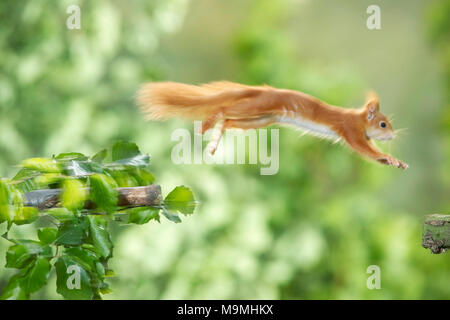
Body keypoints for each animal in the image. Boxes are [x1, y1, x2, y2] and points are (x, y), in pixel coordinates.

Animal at [137, 81, 408, 169]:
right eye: (383, 124)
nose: (394, 136)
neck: (359, 118)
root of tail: (262, 91)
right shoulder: (351, 130)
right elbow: (366, 150)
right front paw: (391, 159)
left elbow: (372, 153)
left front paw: (396, 161)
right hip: (256, 109)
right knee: (223, 110)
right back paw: (205, 126)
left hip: (261, 119)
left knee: (229, 121)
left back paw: (213, 143)